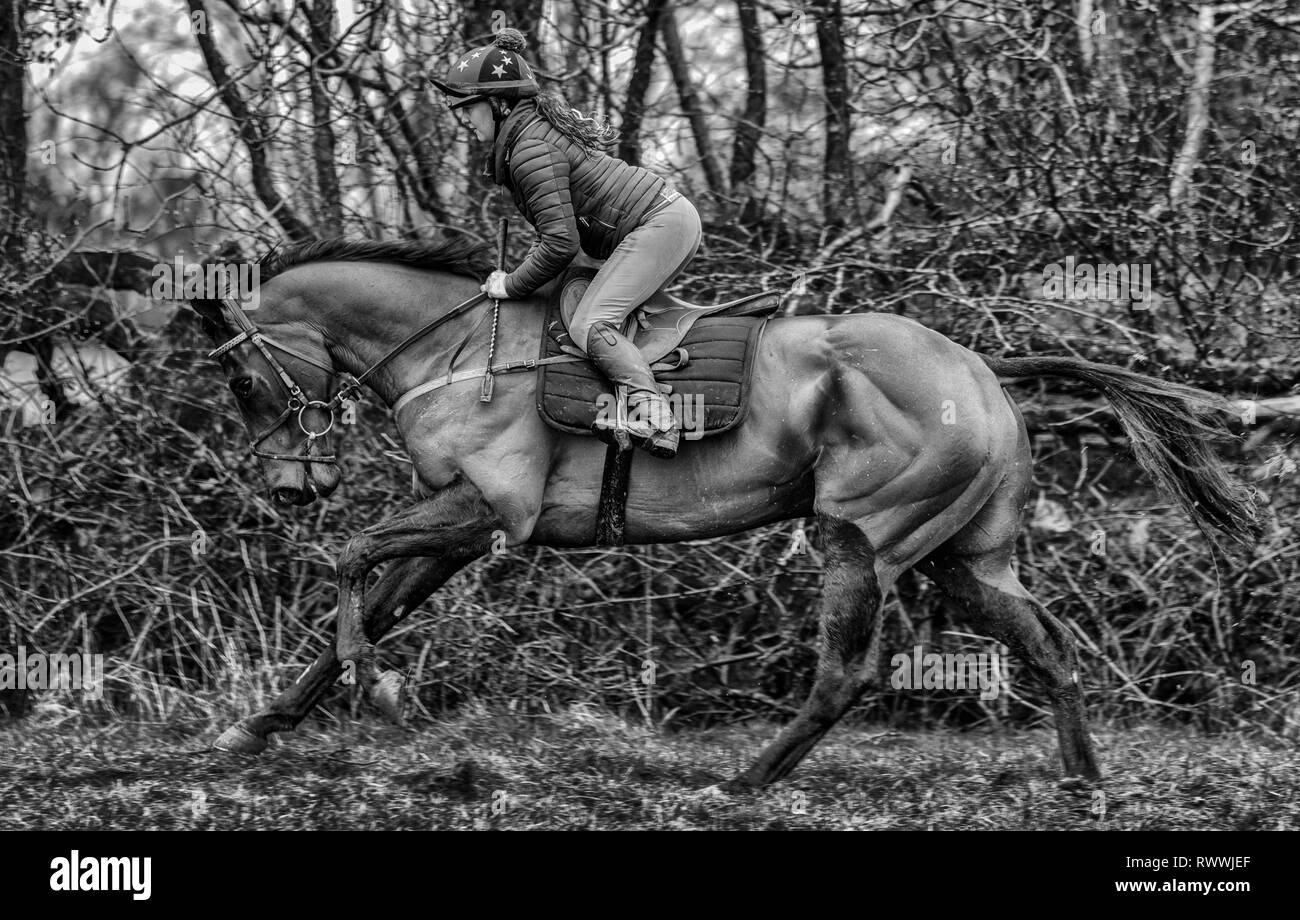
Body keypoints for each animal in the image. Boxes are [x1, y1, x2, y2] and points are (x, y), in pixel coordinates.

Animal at [197, 237, 1263, 790]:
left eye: (243, 380)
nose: (291, 487)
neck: (458, 349)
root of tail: (983, 368)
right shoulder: (460, 521)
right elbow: (374, 601)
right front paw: (261, 724)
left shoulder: (485, 507)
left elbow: (348, 560)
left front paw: (371, 688)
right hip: (966, 557)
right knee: (1046, 644)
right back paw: (1082, 778)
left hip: (860, 537)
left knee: (846, 672)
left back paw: (745, 780)